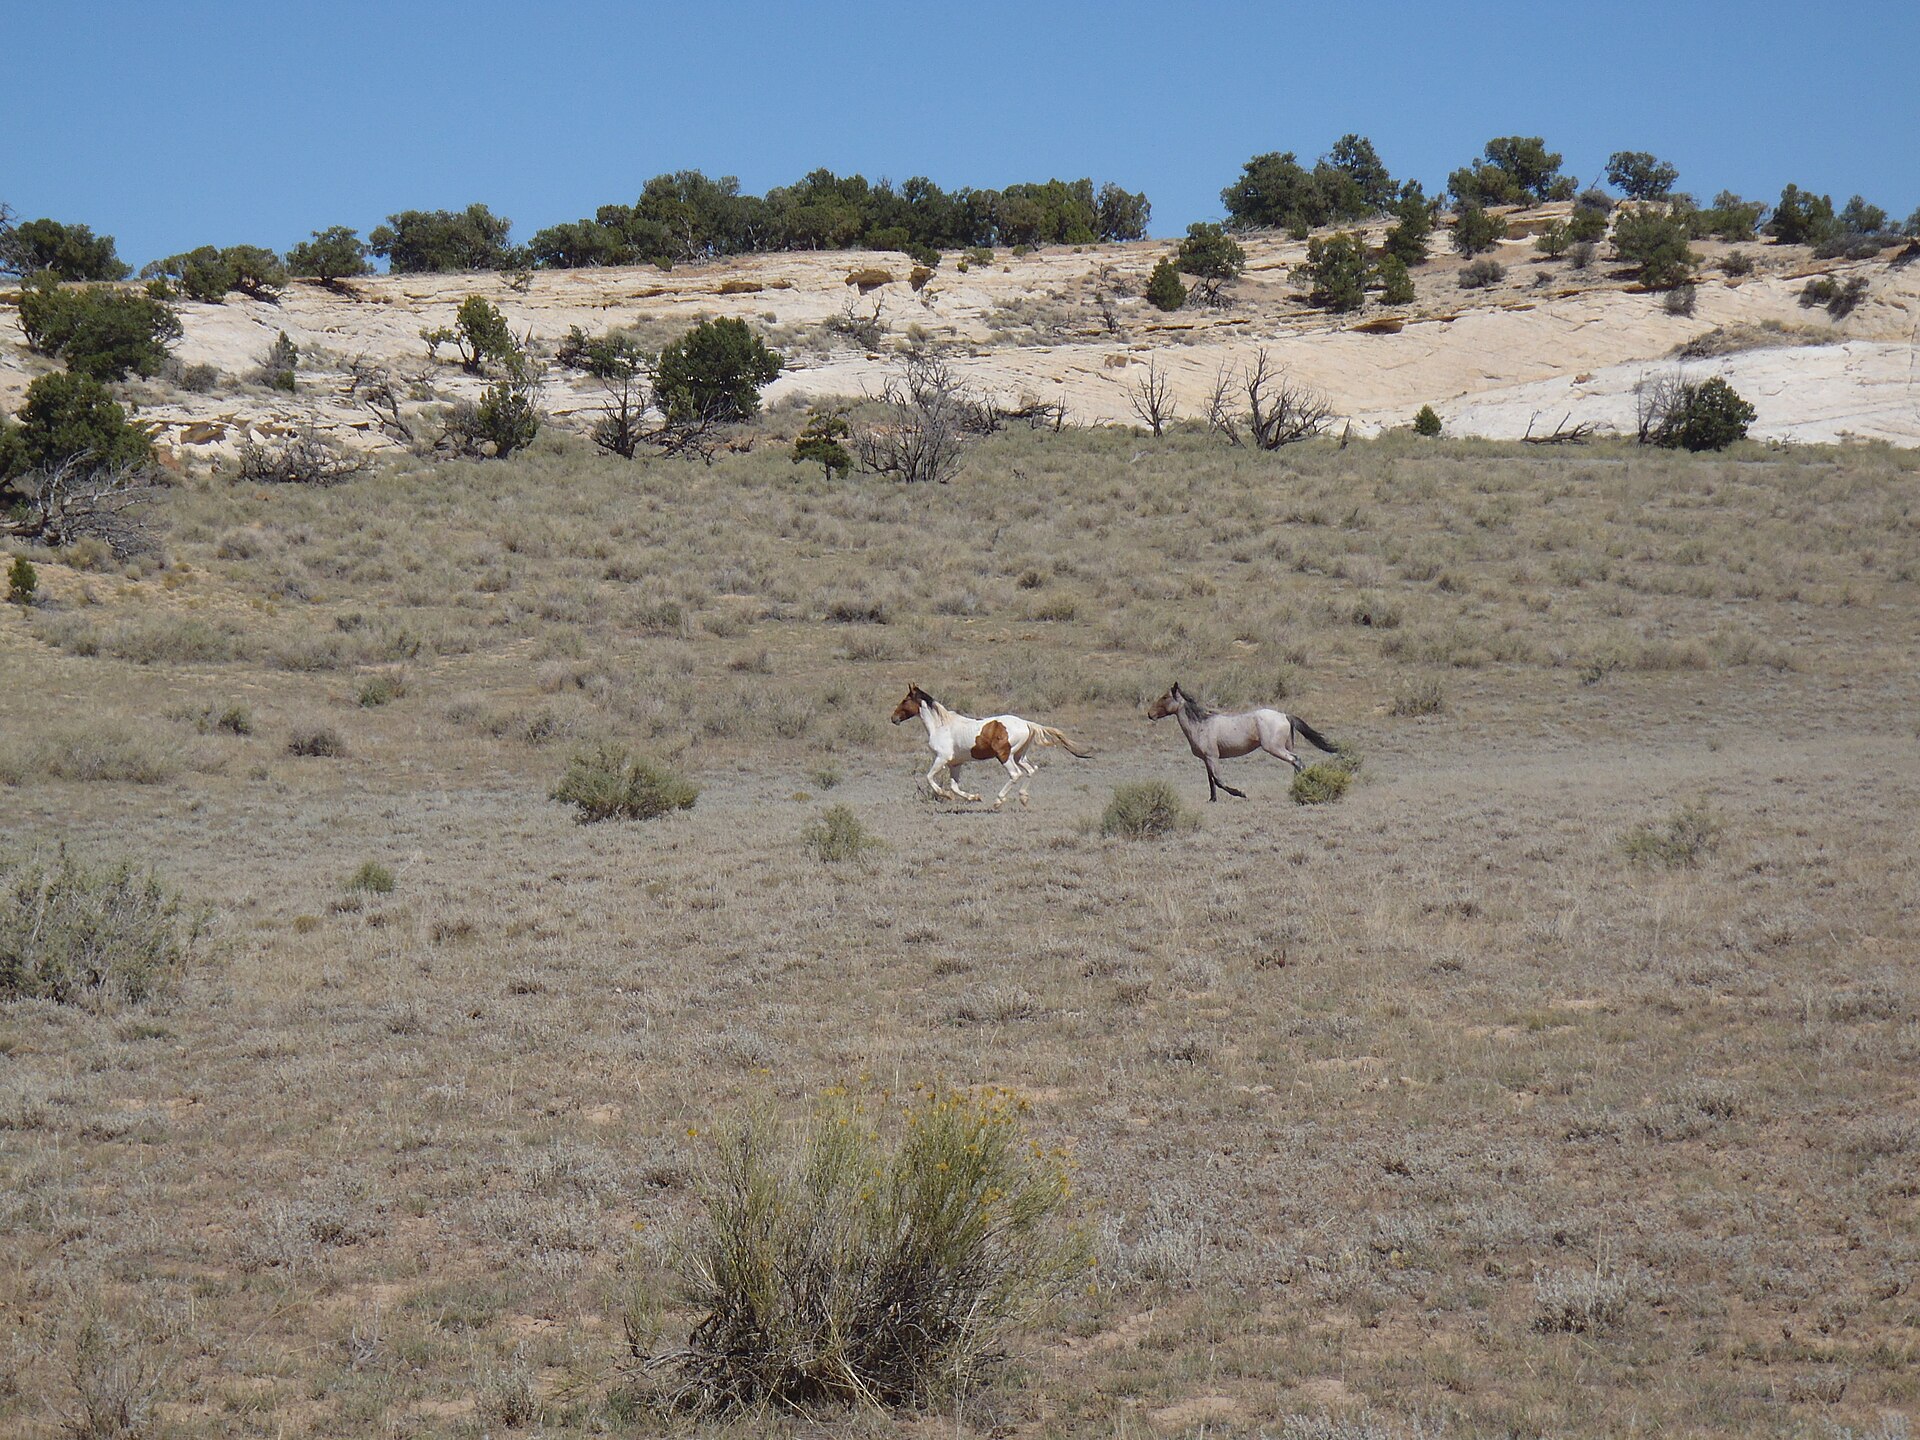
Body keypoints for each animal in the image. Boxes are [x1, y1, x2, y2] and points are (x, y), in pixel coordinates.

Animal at [890, 684, 1090, 808]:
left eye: (905, 700)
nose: (893, 718)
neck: (941, 726)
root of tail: (1026, 723)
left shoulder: (942, 758)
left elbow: (930, 778)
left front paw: (945, 795)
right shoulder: (955, 763)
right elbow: (955, 786)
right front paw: (975, 797)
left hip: (1005, 756)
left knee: (1015, 774)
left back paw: (998, 801)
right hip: (1020, 755)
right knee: (1032, 769)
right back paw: (1023, 798)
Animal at [1147, 682, 1337, 801]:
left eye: (1165, 697)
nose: (1150, 714)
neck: (1201, 725)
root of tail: (1284, 715)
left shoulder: (1212, 757)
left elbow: (1218, 781)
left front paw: (1241, 793)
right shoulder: (1206, 759)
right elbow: (1211, 780)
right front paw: (1212, 800)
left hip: (1274, 748)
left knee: (1296, 760)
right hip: (1284, 747)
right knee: (1296, 762)